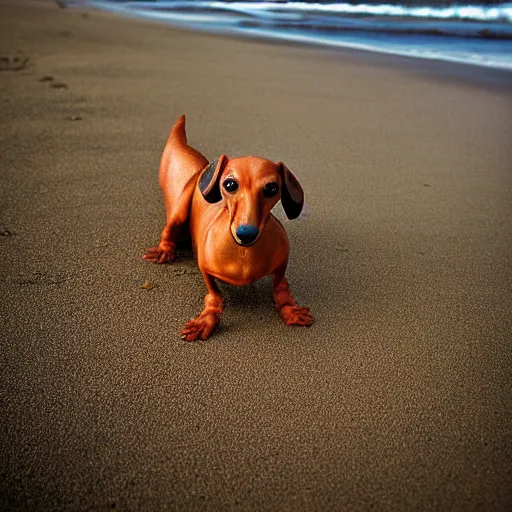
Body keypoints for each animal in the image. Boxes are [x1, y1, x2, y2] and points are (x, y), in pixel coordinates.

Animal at [144, 115, 312, 340]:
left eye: (271, 188)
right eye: (230, 184)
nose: (246, 234)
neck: (244, 253)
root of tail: (202, 168)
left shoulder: (282, 261)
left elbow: (281, 288)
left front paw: (290, 309)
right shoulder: (205, 268)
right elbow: (215, 297)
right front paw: (206, 320)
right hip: (178, 211)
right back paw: (164, 250)